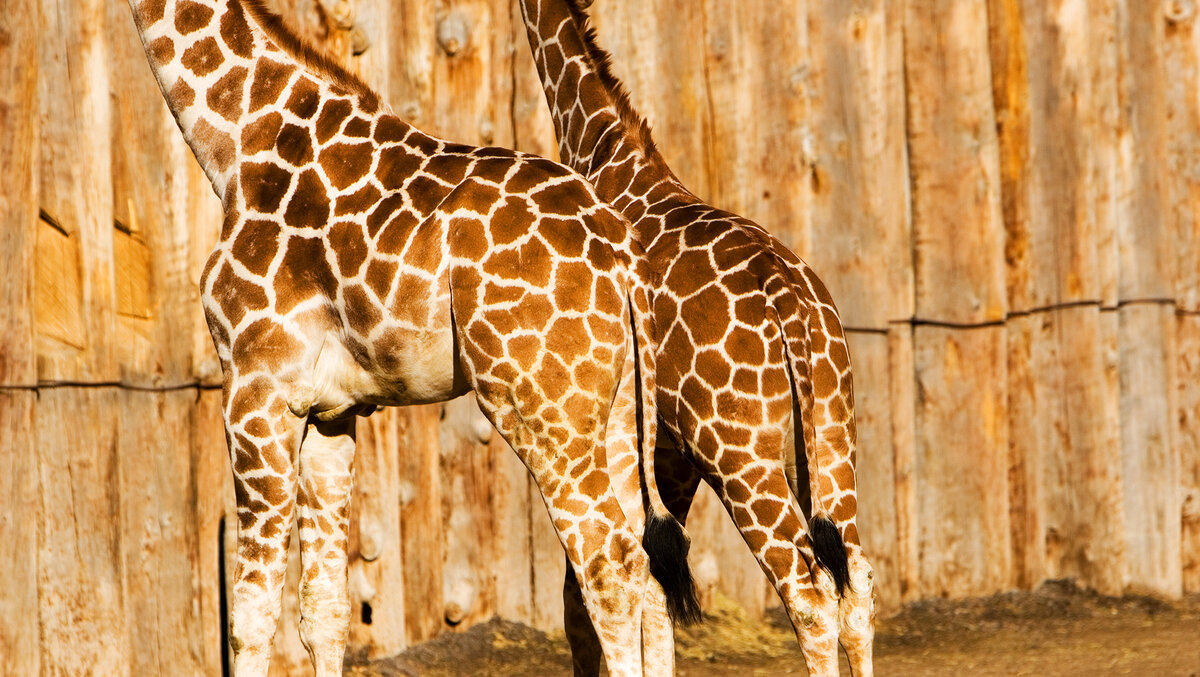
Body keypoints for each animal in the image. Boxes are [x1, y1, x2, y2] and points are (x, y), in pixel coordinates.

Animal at [125, 0, 696, 672]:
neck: (241, 142)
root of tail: (622, 256)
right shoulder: (331, 412)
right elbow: (324, 607)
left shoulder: (256, 386)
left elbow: (251, 613)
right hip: (617, 414)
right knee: (650, 567)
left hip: (543, 409)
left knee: (610, 561)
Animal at [520, 2, 878, 672]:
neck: (602, 150)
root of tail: (790, 302)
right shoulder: (671, 455)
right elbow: (658, 601)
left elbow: (583, 603)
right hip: (832, 437)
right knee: (858, 582)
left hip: (742, 453)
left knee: (808, 591)